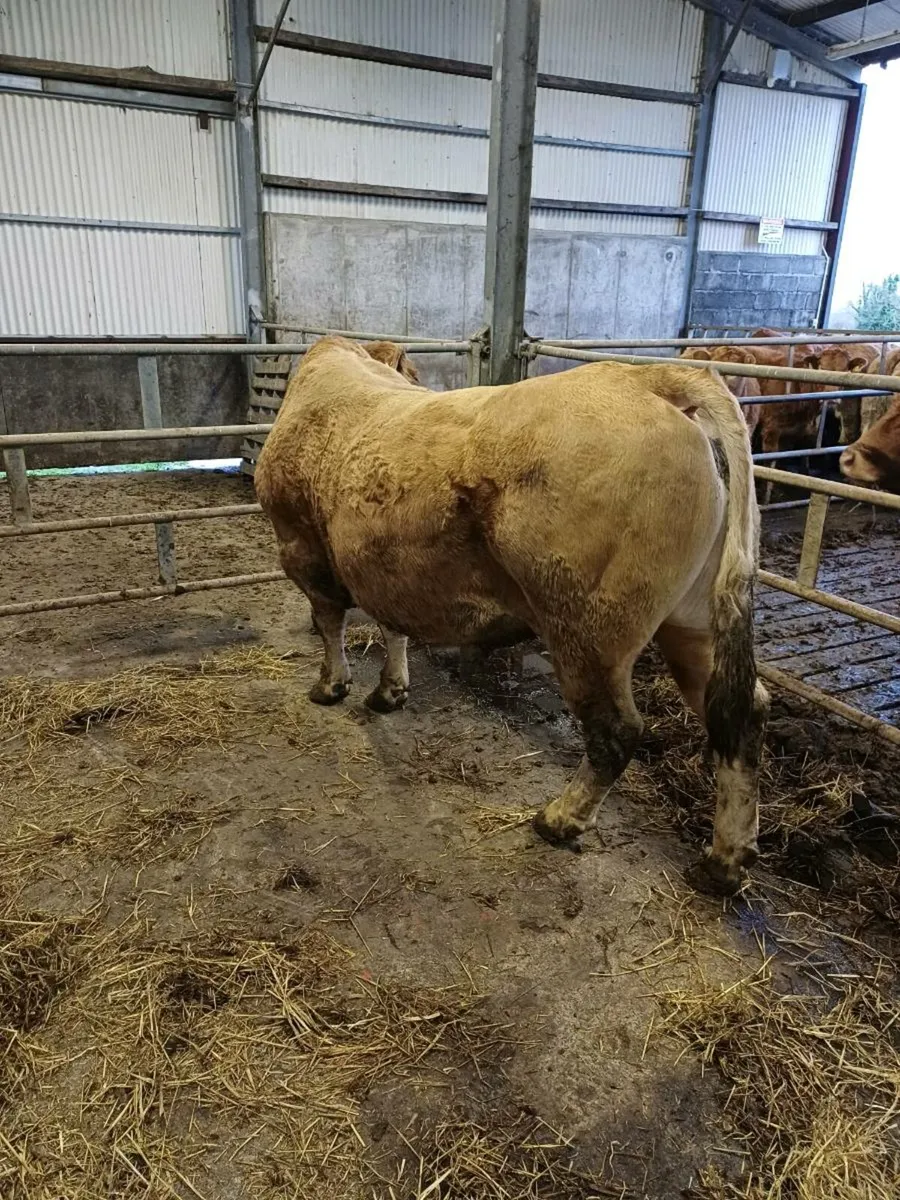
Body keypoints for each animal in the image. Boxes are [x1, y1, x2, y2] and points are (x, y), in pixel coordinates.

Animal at [254, 336, 768, 895]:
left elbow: (330, 621)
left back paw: (560, 818)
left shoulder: (300, 545)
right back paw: (724, 861)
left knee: (616, 731)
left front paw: (331, 685)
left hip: (585, 630)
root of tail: (645, 378)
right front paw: (390, 690)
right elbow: (394, 626)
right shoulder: (381, 562)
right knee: (741, 714)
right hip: (694, 622)